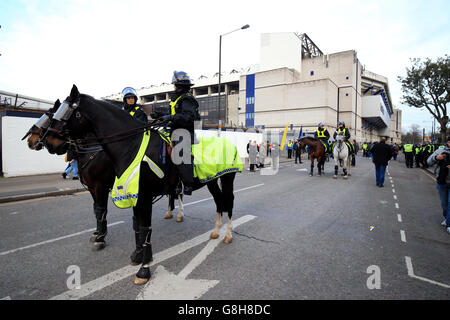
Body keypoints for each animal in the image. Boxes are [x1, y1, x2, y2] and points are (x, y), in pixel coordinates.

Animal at [42, 85, 239, 284]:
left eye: (67, 111)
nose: (50, 142)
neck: (130, 146)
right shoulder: (132, 195)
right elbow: (135, 226)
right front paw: (137, 256)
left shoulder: (135, 195)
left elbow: (143, 229)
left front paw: (143, 269)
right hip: (211, 181)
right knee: (218, 202)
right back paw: (215, 231)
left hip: (227, 179)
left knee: (228, 203)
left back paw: (228, 235)